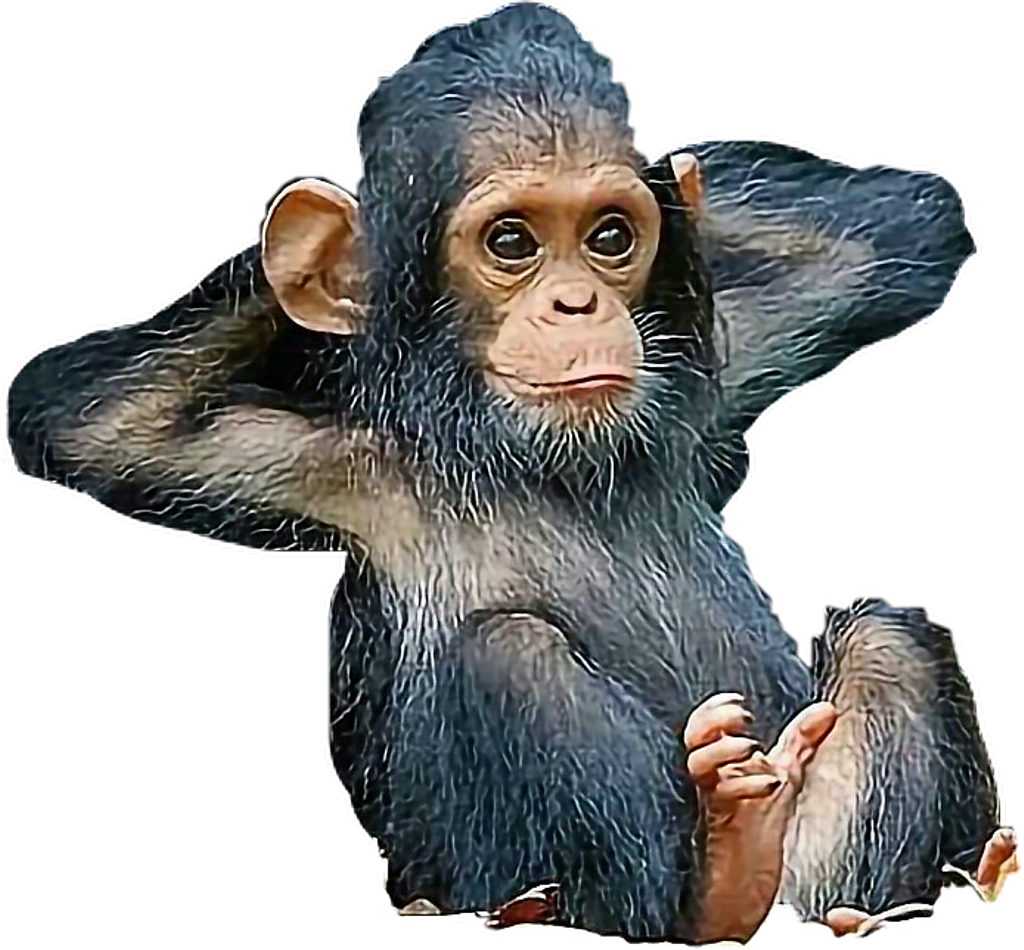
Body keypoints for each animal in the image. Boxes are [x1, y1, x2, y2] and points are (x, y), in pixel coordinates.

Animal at [4, 2, 1017, 942]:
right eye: (513, 244)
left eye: (610, 236)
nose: (577, 304)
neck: (529, 454)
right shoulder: (310, 462)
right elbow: (84, 421)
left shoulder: (727, 359)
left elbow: (894, 236)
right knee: (510, 654)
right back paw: (730, 869)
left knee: (891, 641)